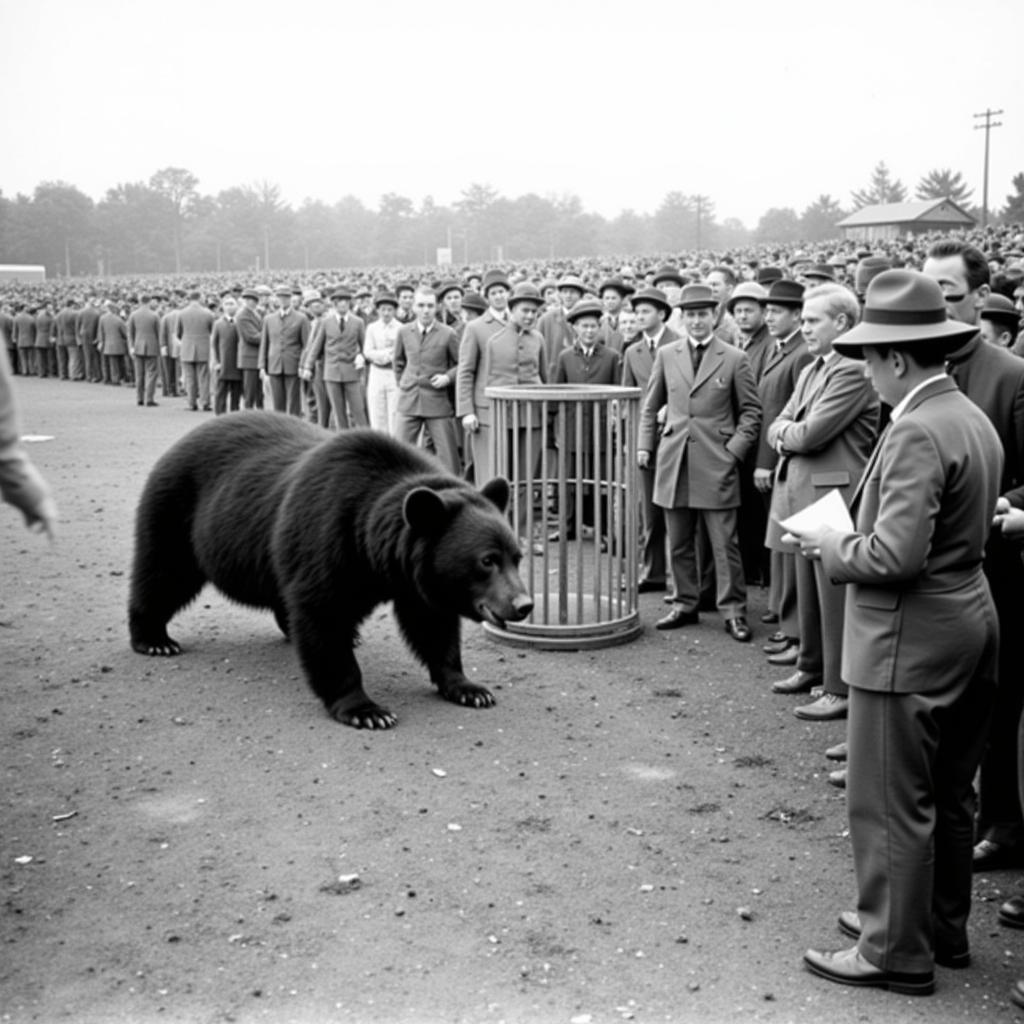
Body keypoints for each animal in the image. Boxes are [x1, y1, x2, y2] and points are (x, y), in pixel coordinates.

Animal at [128, 409, 536, 729]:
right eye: (486, 560)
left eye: (517, 557)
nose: (524, 605)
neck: (372, 545)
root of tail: (181, 441)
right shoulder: (328, 534)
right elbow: (322, 614)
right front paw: (366, 710)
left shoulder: (411, 578)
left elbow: (432, 625)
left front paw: (469, 688)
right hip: (175, 510)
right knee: (162, 573)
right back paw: (154, 639)